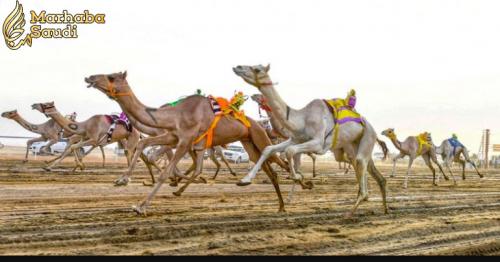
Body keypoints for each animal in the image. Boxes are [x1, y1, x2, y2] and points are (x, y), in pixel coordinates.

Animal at [85, 71, 290, 215]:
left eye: (111, 77)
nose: (90, 77)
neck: (175, 114)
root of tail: (259, 125)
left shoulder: (185, 141)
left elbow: (166, 171)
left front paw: (141, 206)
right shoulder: (173, 137)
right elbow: (145, 145)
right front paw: (122, 179)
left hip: (259, 137)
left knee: (279, 162)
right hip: (248, 142)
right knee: (268, 168)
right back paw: (280, 205)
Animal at [232, 64, 388, 217]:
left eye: (257, 69)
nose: (237, 67)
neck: (302, 119)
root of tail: (373, 131)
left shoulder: (318, 144)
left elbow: (290, 152)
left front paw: (298, 178)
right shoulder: (296, 139)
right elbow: (269, 149)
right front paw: (245, 180)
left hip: (367, 137)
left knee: (360, 163)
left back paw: (351, 211)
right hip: (351, 146)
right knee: (367, 168)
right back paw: (384, 208)